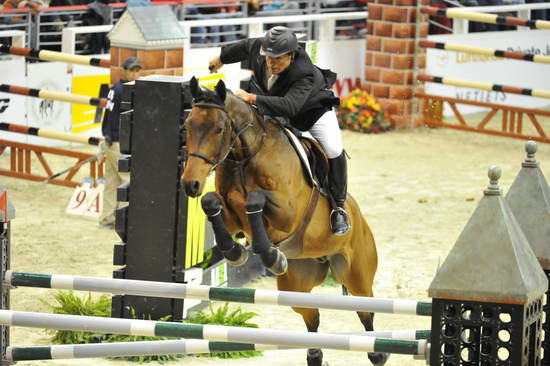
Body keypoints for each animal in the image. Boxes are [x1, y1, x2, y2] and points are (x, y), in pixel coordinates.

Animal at [181, 77, 388, 366]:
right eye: (188, 125)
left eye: (219, 129)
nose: (191, 184)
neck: (246, 156)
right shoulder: (233, 218)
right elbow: (211, 203)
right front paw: (237, 252)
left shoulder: (288, 213)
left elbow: (255, 200)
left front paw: (269, 254)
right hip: (296, 283)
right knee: (312, 316)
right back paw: (314, 354)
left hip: (357, 274)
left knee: (365, 310)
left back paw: (377, 351)